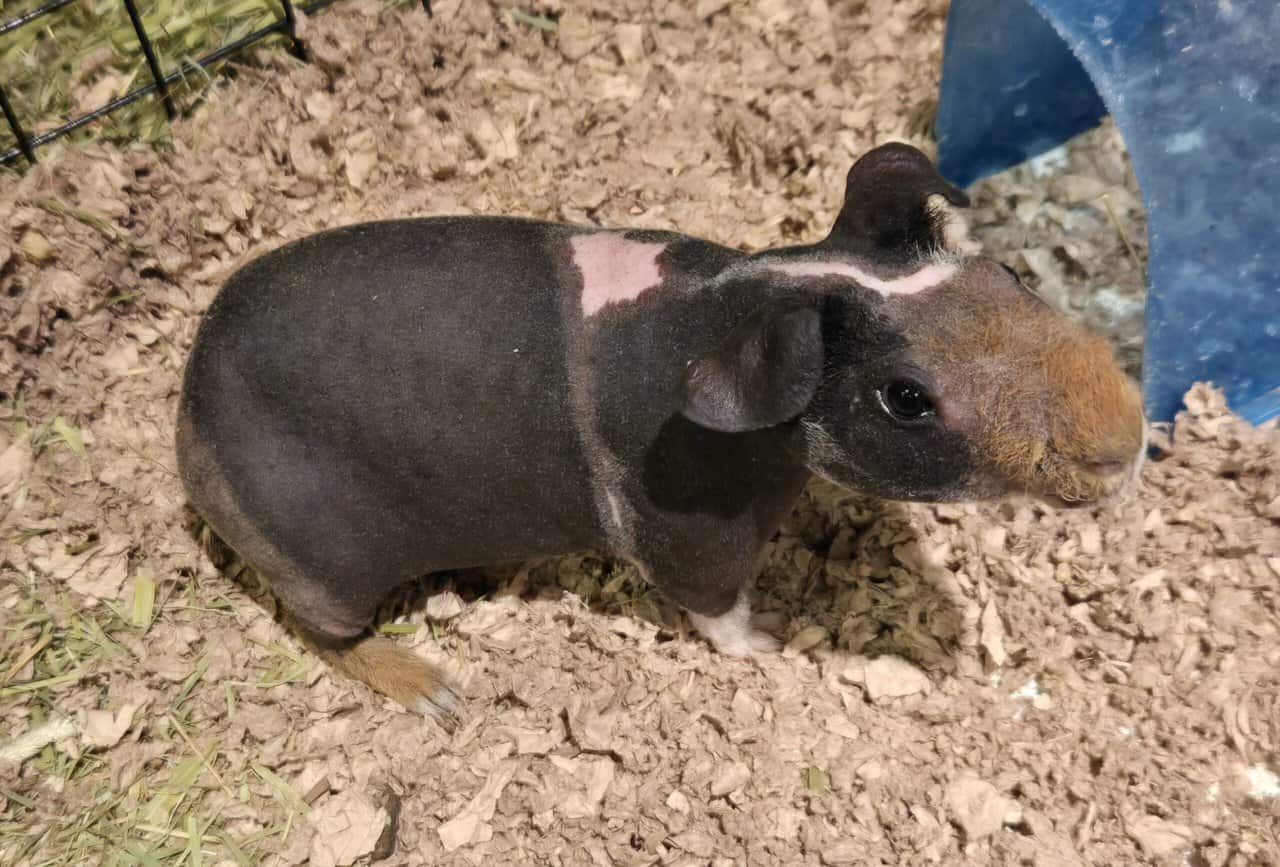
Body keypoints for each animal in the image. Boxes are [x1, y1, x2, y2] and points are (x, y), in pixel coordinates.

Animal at [176, 143, 1146, 725]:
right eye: (905, 397)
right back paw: (439, 693)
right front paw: (777, 644)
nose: (1128, 439)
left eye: (1010, 274)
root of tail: (186, 410)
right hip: (328, 573)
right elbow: (724, 613)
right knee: (326, 634)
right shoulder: (690, 548)